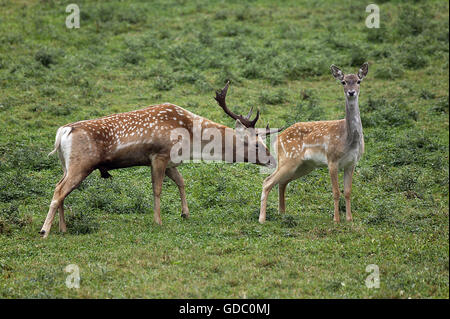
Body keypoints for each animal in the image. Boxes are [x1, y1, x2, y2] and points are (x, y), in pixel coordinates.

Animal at [39, 82, 278, 238]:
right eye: (257, 144)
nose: (272, 160)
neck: (192, 141)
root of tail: (62, 133)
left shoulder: (171, 161)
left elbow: (181, 182)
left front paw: (185, 213)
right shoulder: (159, 155)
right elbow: (157, 189)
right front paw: (159, 221)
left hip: (67, 165)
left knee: (60, 188)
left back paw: (63, 228)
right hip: (81, 164)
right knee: (59, 191)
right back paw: (45, 230)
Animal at [258, 63, 368, 225]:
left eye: (358, 81)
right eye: (343, 82)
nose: (351, 92)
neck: (348, 139)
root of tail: (277, 139)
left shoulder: (351, 163)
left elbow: (348, 192)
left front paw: (349, 219)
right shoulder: (332, 159)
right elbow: (336, 192)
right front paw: (336, 220)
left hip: (304, 166)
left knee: (282, 182)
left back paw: (282, 213)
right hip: (288, 159)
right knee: (267, 181)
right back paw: (262, 219)